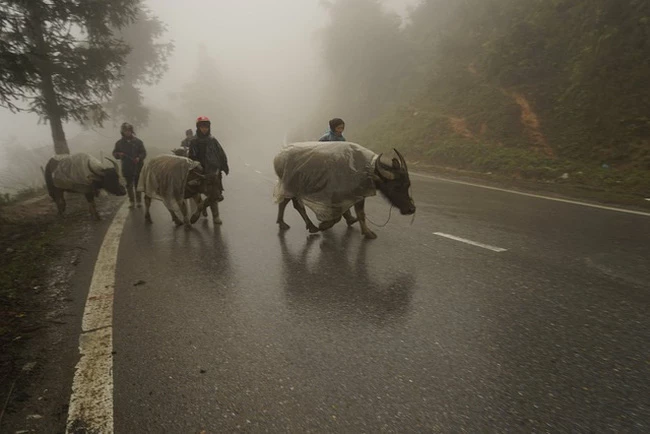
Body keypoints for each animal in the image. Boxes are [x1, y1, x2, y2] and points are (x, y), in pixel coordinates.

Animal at [274, 142, 416, 239]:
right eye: (396, 187)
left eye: (408, 185)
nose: (411, 209)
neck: (364, 171)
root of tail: (278, 157)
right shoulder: (335, 195)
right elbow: (337, 216)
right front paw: (324, 225)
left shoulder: (358, 195)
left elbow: (360, 213)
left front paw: (367, 232)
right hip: (291, 186)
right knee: (294, 204)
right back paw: (311, 227)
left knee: (285, 202)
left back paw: (284, 223)